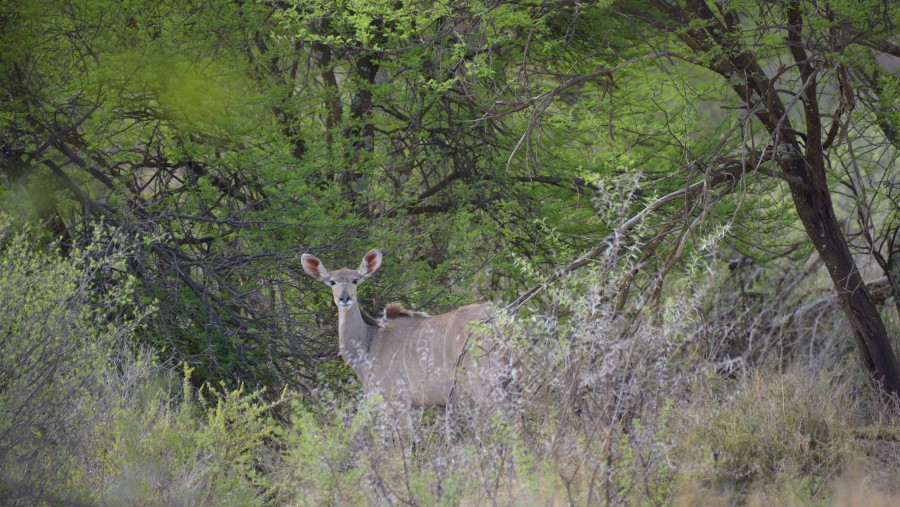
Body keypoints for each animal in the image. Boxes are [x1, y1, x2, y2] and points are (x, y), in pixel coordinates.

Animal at [300, 248, 512, 430]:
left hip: (482, 383)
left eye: (355, 280)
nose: (344, 299)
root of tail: (497, 318)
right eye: (332, 282)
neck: (370, 343)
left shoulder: (399, 400)